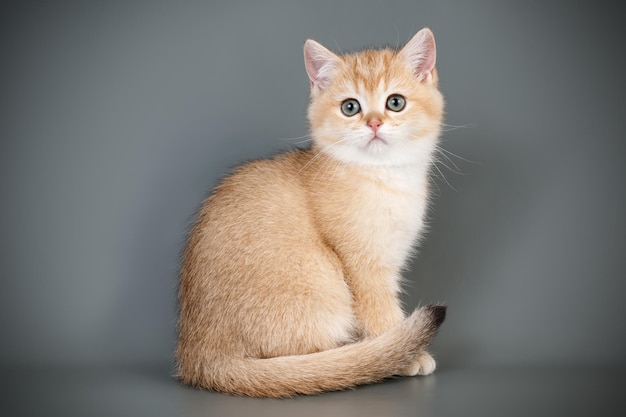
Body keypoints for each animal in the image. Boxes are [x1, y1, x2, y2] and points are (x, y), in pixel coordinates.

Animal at [177, 27, 444, 394]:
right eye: (350, 107)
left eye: (395, 102)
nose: (374, 123)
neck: (383, 176)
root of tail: (199, 355)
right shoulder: (365, 267)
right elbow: (381, 314)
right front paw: (407, 354)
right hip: (322, 285)